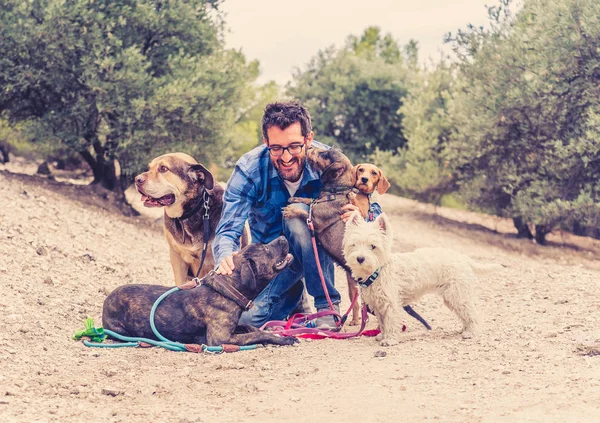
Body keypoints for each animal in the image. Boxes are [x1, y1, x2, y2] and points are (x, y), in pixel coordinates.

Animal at [103, 235, 300, 348]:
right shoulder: (219, 339)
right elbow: (257, 333)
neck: (228, 289)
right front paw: (283, 339)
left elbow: (251, 327)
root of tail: (106, 301)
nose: (283, 237)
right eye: (265, 248)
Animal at [342, 214, 502, 346]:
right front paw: (382, 336)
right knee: (465, 314)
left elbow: (391, 322)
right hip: (453, 298)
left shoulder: (391, 304)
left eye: (373, 246)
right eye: (354, 244)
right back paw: (465, 330)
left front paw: (390, 340)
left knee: (472, 314)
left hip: (458, 295)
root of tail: (464, 258)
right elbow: (382, 323)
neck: (377, 272)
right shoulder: (378, 306)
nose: (360, 258)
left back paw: (471, 333)